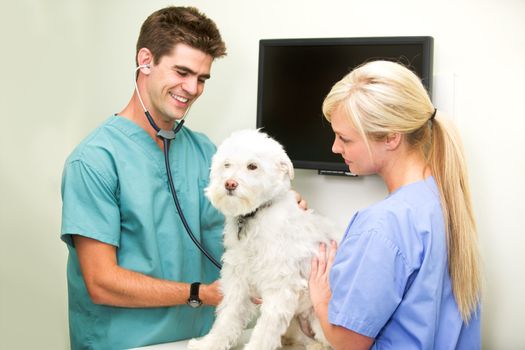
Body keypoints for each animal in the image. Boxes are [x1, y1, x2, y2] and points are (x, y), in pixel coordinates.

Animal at [187, 129, 336, 350]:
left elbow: (265, 330)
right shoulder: (237, 281)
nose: (229, 183)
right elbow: (227, 318)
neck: (253, 217)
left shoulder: (280, 288)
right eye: (227, 164)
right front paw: (210, 343)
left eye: (252, 166)